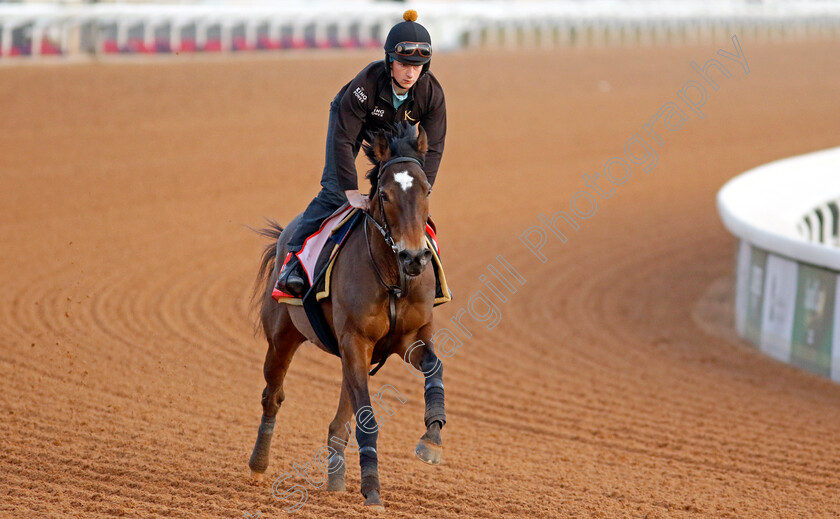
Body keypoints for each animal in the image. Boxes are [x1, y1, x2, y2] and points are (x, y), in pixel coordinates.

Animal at [248, 123, 446, 512]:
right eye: (384, 194)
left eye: (426, 190)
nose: (415, 257)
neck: (393, 277)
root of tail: (283, 238)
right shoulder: (356, 340)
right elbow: (367, 416)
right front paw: (372, 490)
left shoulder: (409, 337)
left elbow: (435, 367)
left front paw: (431, 438)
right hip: (282, 337)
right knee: (272, 396)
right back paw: (258, 466)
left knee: (339, 419)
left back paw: (336, 477)